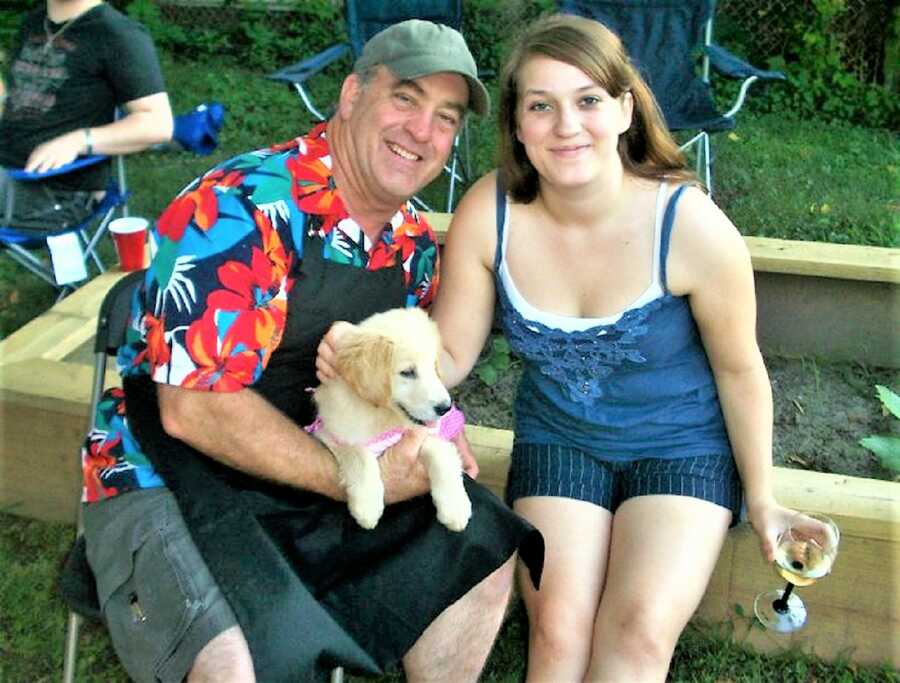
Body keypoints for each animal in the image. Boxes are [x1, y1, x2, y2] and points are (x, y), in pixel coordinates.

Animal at [312, 308, 472, 532]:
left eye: (434, 366)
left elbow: (442, 453)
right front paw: (368, 506)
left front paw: (455, 508)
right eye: (407, 372)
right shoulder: (330, 433)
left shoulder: (419, 434)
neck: (381, 416)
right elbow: (358, 455)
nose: (445, 408)